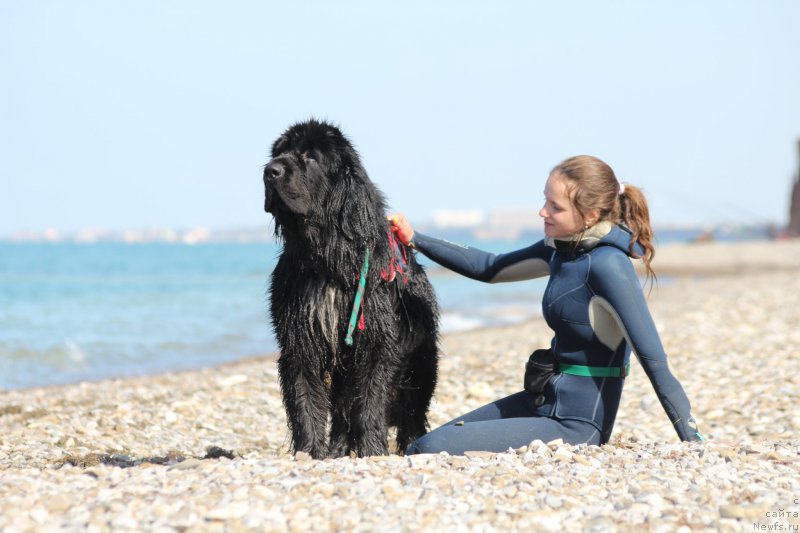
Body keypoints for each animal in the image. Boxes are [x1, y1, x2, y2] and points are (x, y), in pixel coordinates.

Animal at [262, 119, 438, 458]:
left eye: (310, 156)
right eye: (278, 152)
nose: (270, 170)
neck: (327, 256)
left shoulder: (376, 341)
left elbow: (370, 401)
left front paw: (372, 450)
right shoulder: (298, 337)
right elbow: (305, 399)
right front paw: (309, 451)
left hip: (420, 361)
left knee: (411, 410)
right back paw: (339, 448)